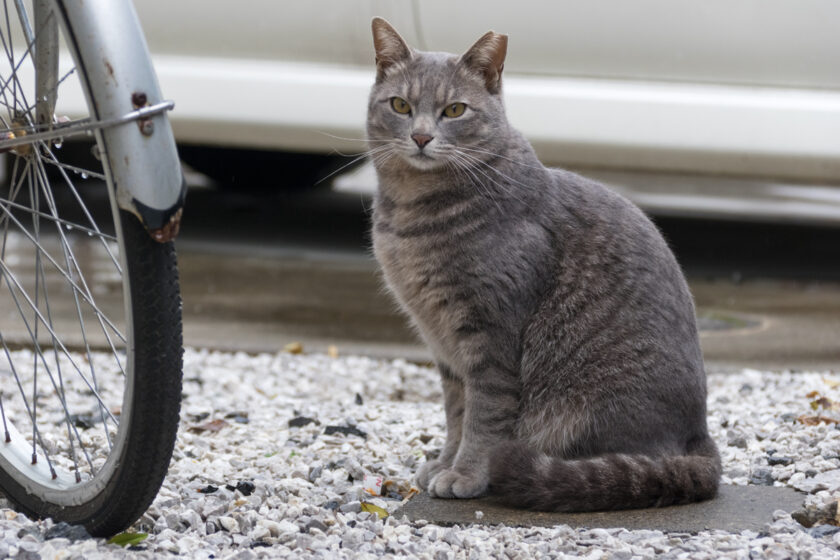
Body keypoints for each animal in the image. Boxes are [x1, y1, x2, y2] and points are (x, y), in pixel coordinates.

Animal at [368, 17, 720, 510]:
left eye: (455, 110)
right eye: (400, 105)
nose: (420, 136)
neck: (409, 214)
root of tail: (699, 437)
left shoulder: (491, 340)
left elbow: (483, 420)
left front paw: (466, 474)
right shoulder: (445, 348)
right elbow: (456, 413)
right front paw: (444, 463)